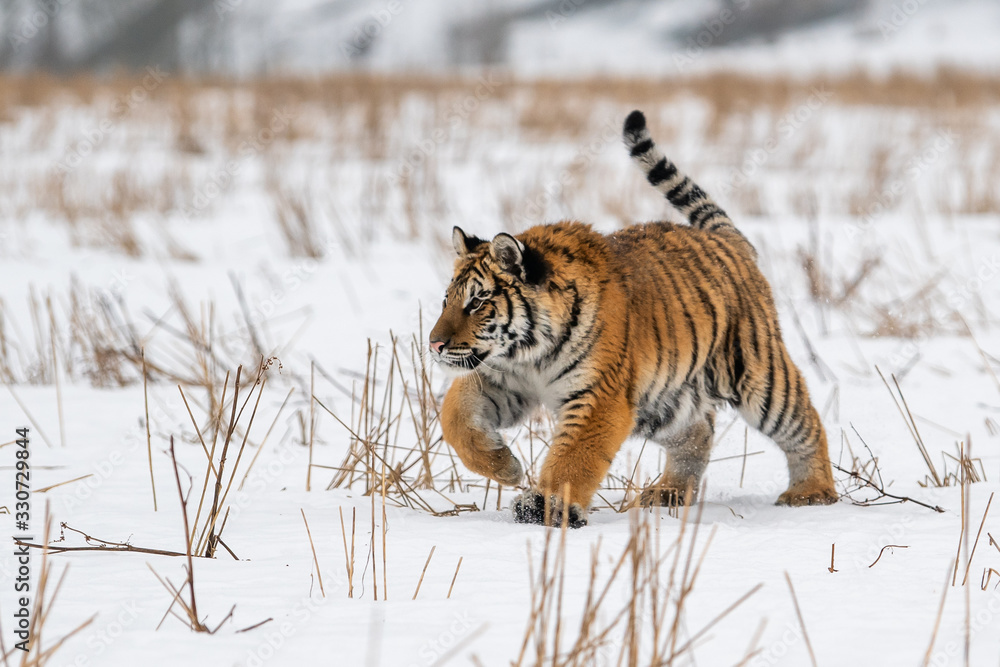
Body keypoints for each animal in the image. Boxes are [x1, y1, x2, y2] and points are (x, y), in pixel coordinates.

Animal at [428, 109, 837, 527]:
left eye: (477, 302)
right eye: (447, 300)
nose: (435, 344)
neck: (529, 353)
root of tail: (728, 239)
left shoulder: (599, 395)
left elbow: (573, 457)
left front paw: (544, 507)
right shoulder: (501, 379)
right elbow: (455, 417)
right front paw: (505, 466)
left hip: (758, 377)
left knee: (806, 425)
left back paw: (811, 493)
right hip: (661, 402)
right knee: (698, 432)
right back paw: (669, 493)